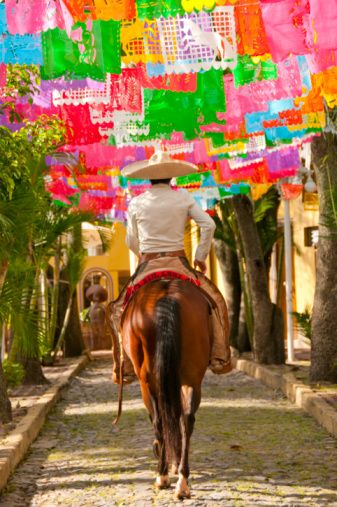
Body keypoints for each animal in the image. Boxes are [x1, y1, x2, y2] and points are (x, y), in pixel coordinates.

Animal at [118, 278, 210, 500]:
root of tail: (168, 294)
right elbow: (177, 417)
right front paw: (175, 463)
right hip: (193, 376)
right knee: (186, 420)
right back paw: (182, 481)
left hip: (147, 380)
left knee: (159, 421)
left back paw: (162, 476)